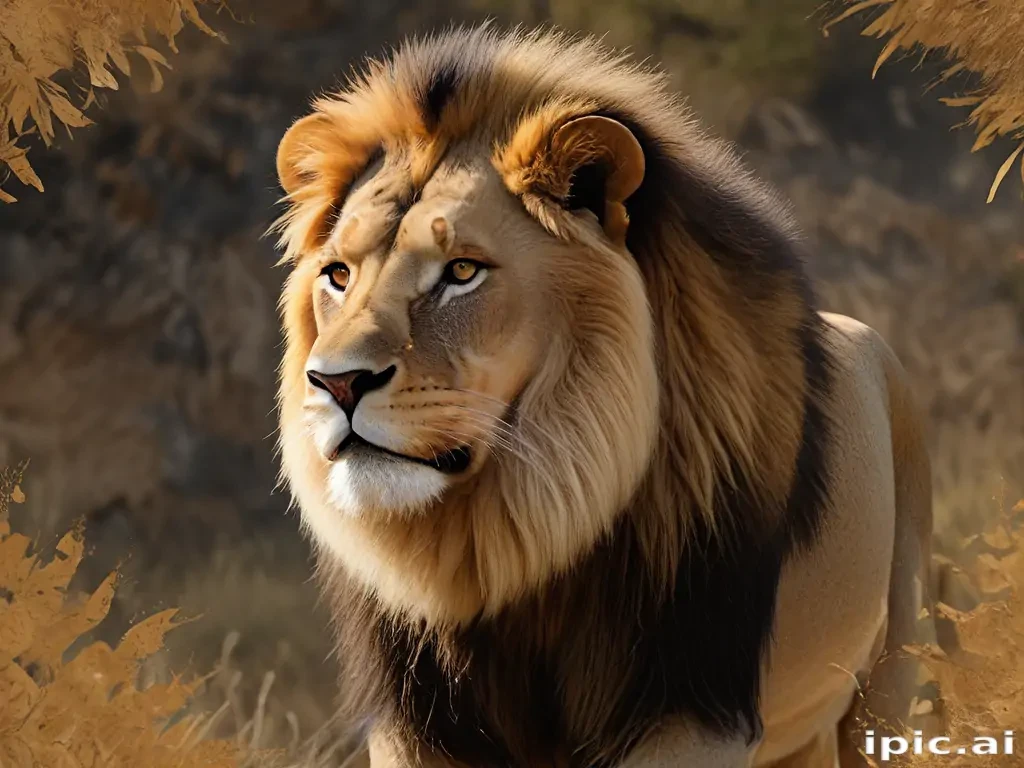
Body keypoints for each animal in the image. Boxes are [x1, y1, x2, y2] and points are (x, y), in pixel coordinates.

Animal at [272, 24, 936, 768]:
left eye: (462, 271)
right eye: (337, 275)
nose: (336, 382)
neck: (511, 544)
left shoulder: (688, 709)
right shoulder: (417, 721)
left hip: (886, 688)